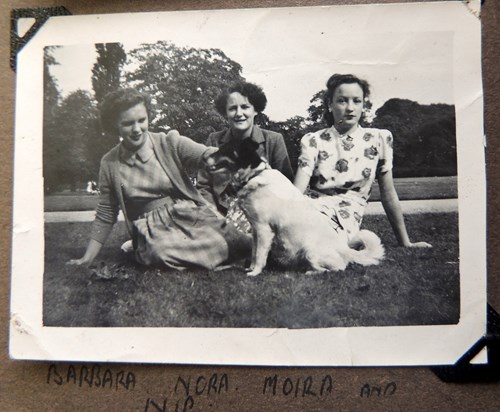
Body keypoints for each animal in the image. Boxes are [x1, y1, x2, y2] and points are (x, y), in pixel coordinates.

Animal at [205, 139, 384, 276]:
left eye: (225, 149)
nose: (204, 157)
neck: (254, 175)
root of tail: (344, 248)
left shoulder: (264, 230)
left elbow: (260, 255)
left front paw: (254, 273)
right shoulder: (255, 229)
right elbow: (254, 252)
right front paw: (250, 268)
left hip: (310, 251)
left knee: (336, 268)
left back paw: (310, 272)